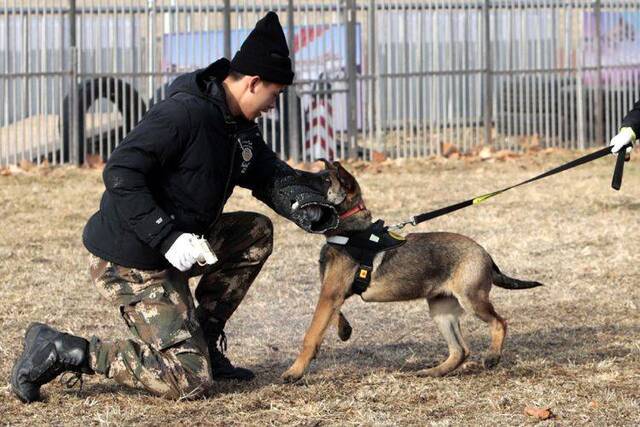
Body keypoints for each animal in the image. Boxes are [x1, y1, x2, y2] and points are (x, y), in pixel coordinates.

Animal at [282, 162, 544, 382]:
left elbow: (311, 334)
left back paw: (492, 357)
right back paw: (433, 371)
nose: (293, 175)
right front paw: (344, 330)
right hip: (441, 310)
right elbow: (332, 317)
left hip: (472, 300)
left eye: (324, 180)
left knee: (499, 323)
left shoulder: (329, 294)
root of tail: (485, 253)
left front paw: (295, 371)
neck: (350, 230)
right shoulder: (331, 293)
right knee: (460, 350)